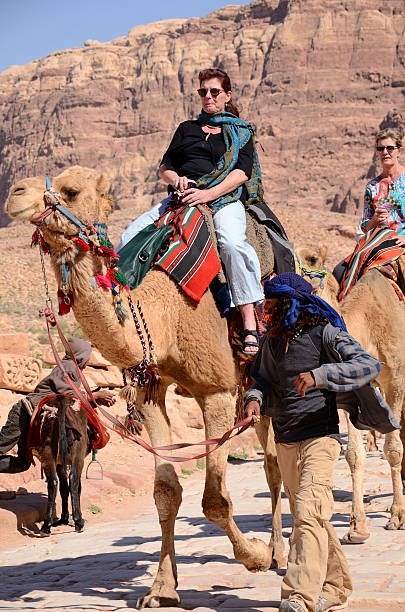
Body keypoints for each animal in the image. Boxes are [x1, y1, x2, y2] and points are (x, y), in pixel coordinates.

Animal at [5, 166, 284, 608]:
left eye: (72, 190)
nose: (13, 194)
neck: (167, 314)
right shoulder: (150, 391)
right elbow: (165, 492)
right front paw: (161, 590)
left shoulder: (216, 390)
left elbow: (214, 498)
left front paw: (255, 556)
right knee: (273, 460)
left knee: (280, 461)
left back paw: (282, 552)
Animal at [296, 244, 404, 540]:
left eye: (312, 258)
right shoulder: (353, 392)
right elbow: (354, 454)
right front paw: (357, 527)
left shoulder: (396, 381)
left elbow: (393, 448)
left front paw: (397, 515)